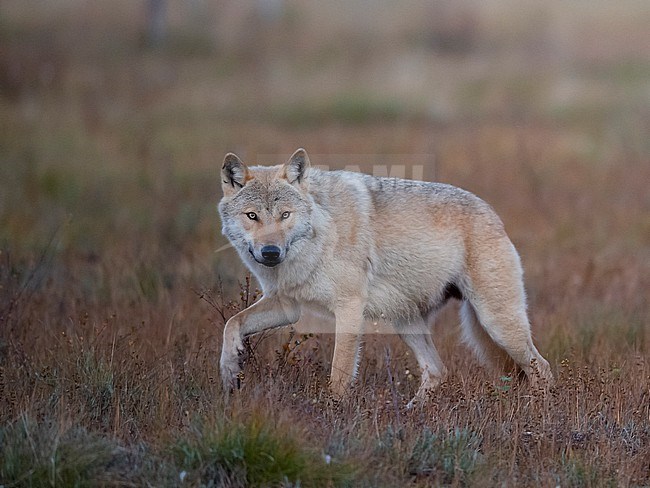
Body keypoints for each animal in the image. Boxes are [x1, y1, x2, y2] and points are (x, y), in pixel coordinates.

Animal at [218, 148, 552, 404]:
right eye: (252, 216)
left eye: (285, 215)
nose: (270, 252)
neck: (318, 236)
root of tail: (495, 214)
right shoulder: (287, 305)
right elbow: (231, 323)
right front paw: (230, 370)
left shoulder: (349, 307)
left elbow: (339, 375)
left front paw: (333, 413)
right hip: (407, 324)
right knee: (437, 371)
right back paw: (411, 412)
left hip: (497, 324)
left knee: (542, 368)